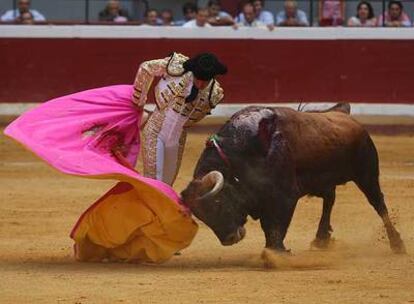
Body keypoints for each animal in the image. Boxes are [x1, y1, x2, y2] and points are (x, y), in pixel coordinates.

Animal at [182, 104, 408, 254]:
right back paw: (321, 239)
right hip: (325, 180)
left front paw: (275, 254)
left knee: (379, 204)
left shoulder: (284, 196)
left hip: (367, 174)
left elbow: (276, 226)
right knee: (330, 200)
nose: (230, 240)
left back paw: (397, 244)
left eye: (218, 203)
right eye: (201, 216)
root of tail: (344, 115)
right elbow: (270, 226)